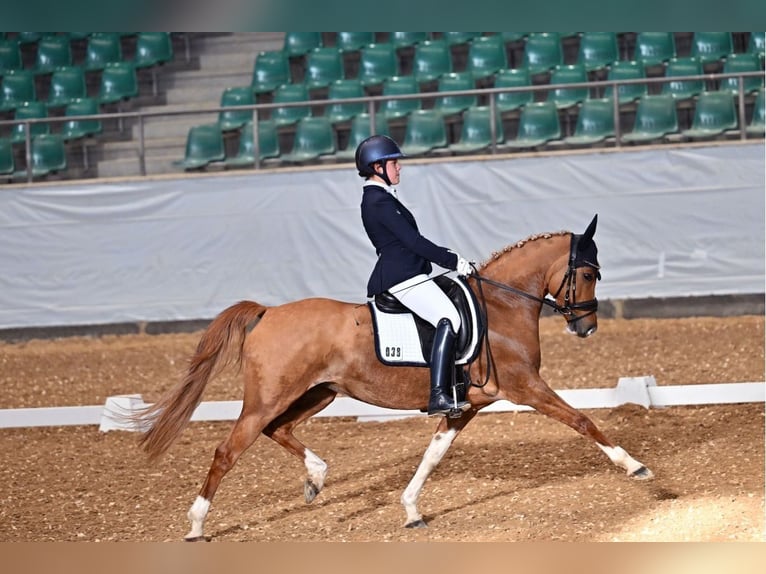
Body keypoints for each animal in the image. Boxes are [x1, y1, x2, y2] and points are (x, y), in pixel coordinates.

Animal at [134, 214, 656, 544]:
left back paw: (316, 478)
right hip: (269, 396)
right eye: (587, 273)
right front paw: (636, 467)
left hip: (318, 393)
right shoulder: (526, 387)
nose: (586, 327)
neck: (502, 306)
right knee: (229, 450)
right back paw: (197, 526)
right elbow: (583, 420)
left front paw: (410, 510)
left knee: (277, 429)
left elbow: (432, 456)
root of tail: (268, 313)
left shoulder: (466, 406)